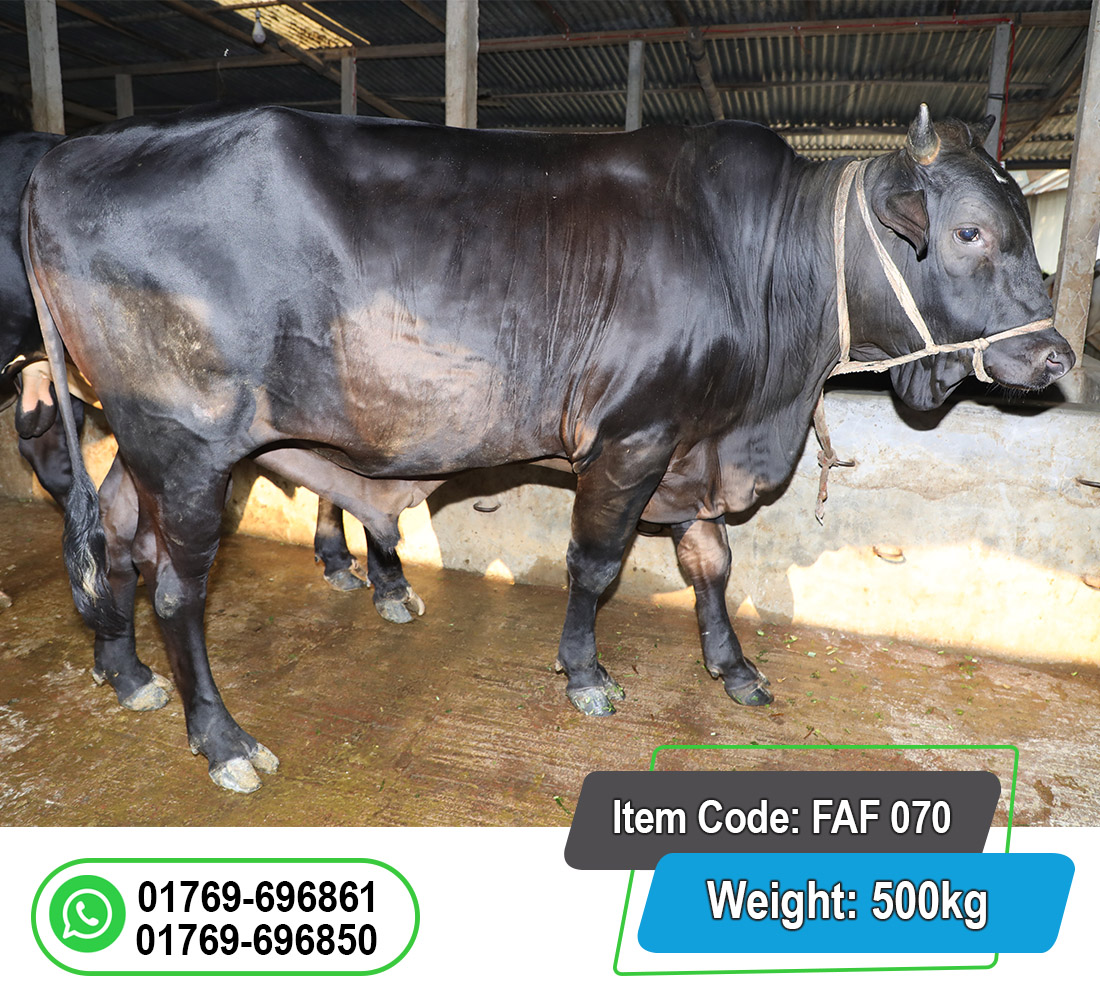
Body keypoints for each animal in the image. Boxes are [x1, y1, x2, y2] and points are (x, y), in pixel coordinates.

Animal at [24, 104, 1072, 792]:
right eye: (970, 232)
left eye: (1026, 228)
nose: (1058, 353)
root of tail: (66, 161)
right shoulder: (633, 438)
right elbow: (596, 564)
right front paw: (586, 675)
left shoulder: (690, 447)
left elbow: (711, 560)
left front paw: (733, 668)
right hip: (191, 446)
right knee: (177, 585)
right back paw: (223, 739)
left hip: (139, 443)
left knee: (114, 539)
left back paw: (124, 673)